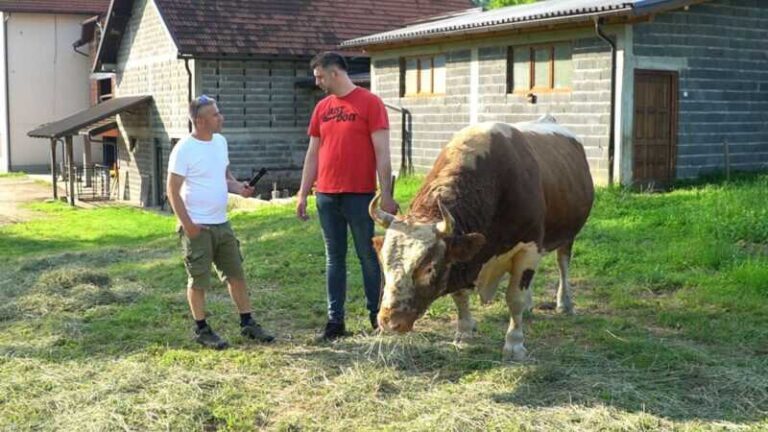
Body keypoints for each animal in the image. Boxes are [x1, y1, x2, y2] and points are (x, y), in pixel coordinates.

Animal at [370, 118, 592, 362]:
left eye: (429, 268)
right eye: (384, 263)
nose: (389, 321)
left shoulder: (530, 246)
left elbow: (514, 297)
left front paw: (514, 344)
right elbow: (459, 295)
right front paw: (464, 332)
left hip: (568, 234)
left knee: (562, 264)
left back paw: (565, 303)